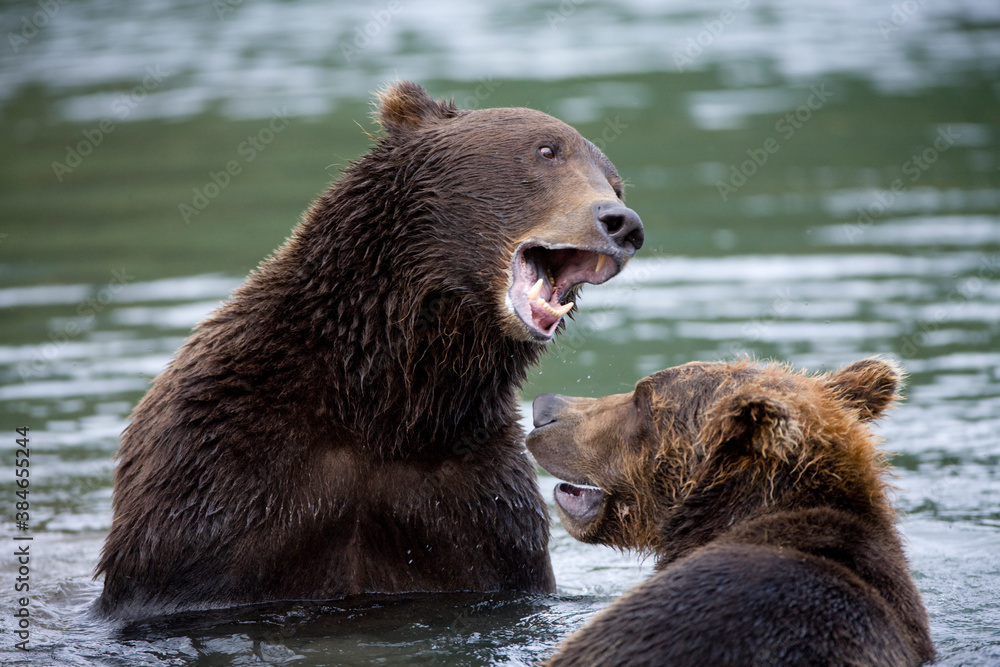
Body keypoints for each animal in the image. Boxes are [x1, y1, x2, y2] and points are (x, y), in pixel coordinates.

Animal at [94, 81, 644, 621]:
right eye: (547, 150)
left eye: (614, 182)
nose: (623, 223)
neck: (378, 401)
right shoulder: (213, 477)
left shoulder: (476, 502)